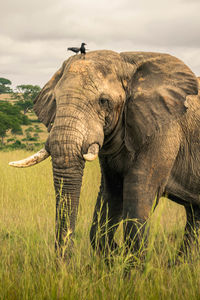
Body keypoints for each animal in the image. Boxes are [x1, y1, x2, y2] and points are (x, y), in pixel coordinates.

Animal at [9, 50, 200, 258]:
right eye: (56, 101)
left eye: (104, 101)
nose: (65, 263)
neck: (127, 63)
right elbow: (111, 194)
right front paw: (114, 254)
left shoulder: (163, 130)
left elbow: (139, 195)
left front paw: (127, 262)